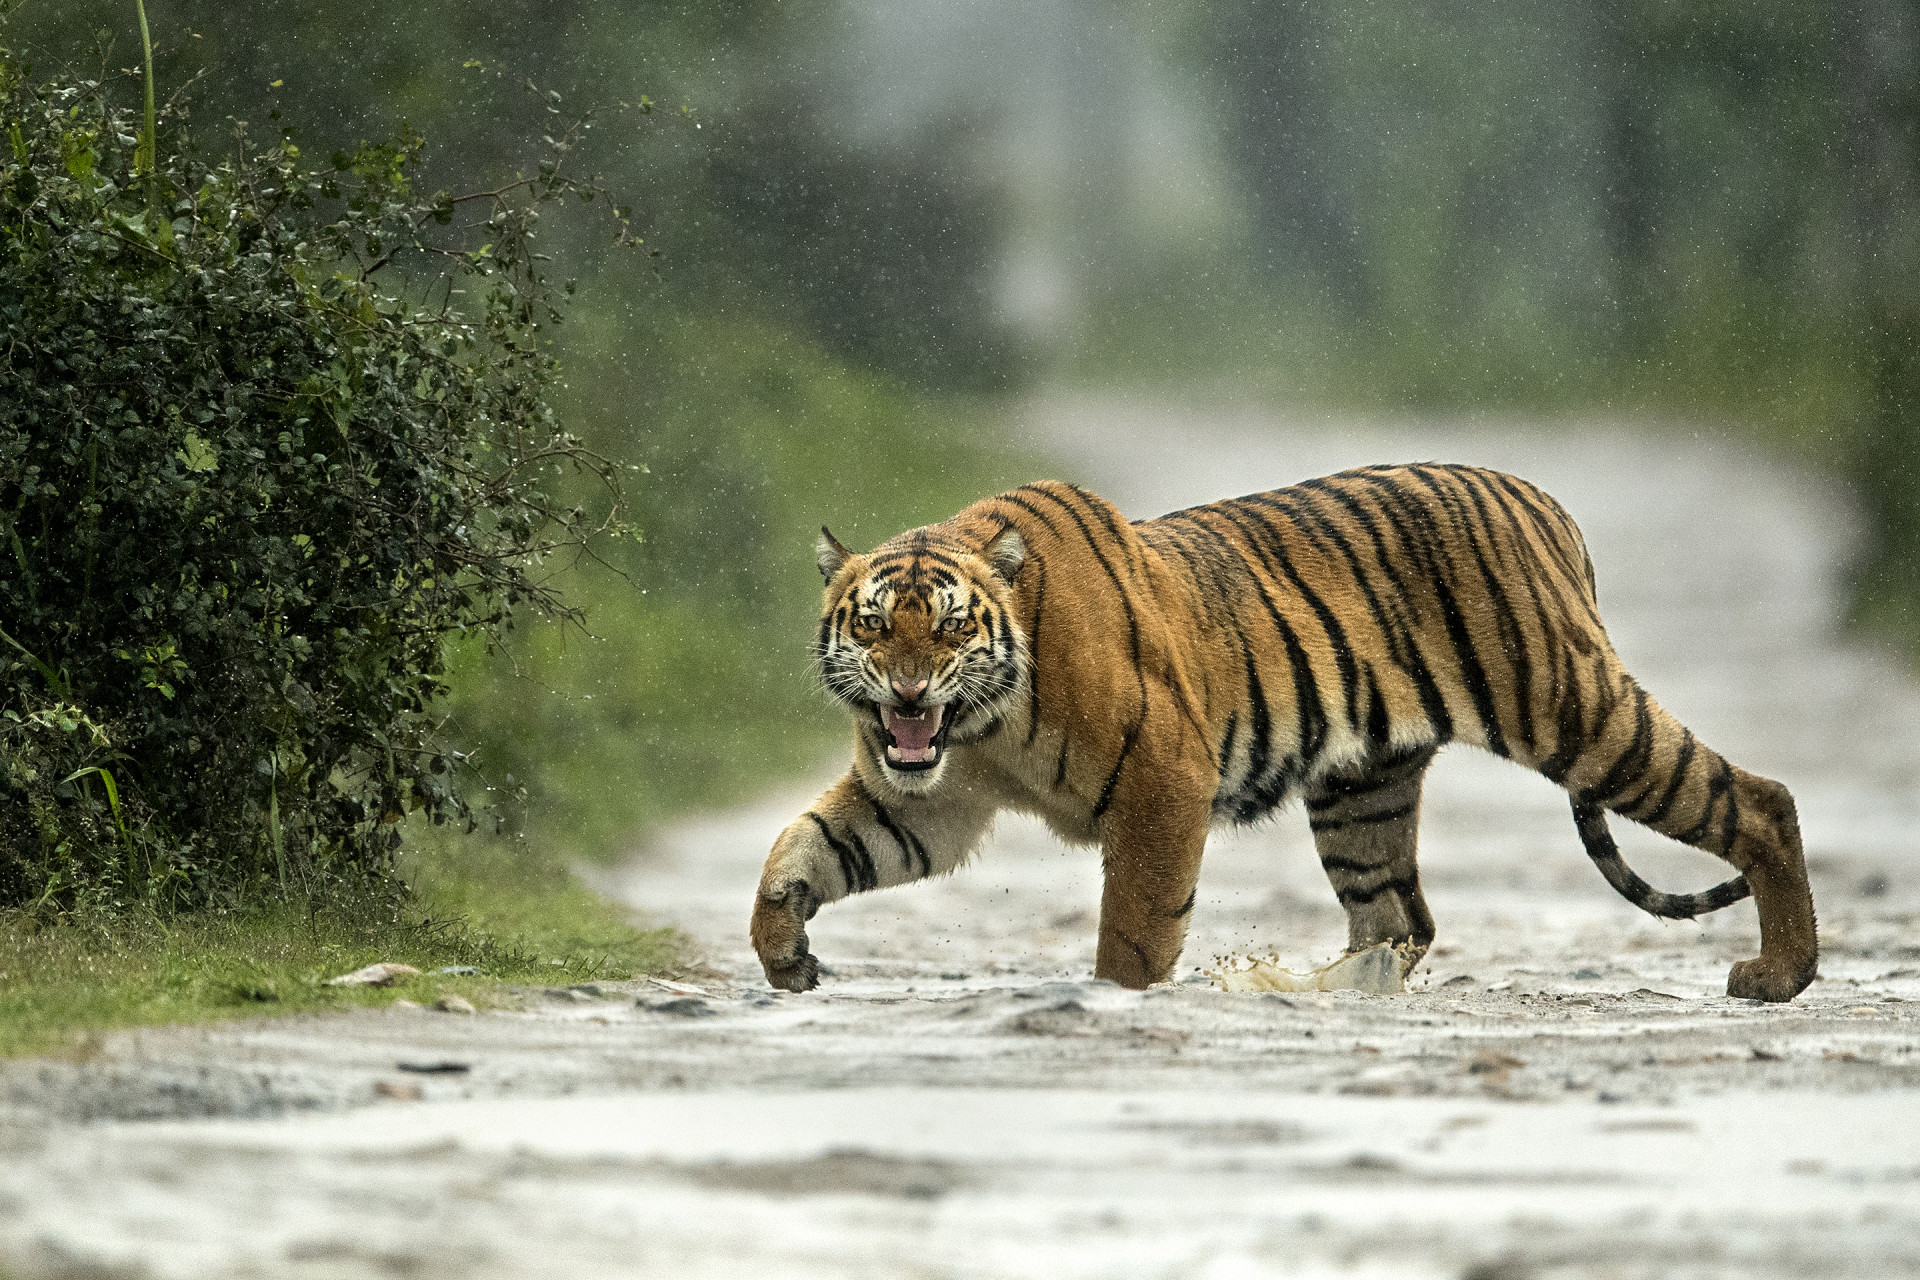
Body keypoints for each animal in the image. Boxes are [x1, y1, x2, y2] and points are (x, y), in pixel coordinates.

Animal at [744, 466, 1812, 1005]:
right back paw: (1325, 989)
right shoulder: (928, 801)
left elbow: (1135, 927)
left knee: (1758, 799)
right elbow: (800, 847)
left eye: (950, 627)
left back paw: (1779, 976)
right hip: (1363, 787)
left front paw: (1116, 1003)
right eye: (873, 625)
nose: (908, 688)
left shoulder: (1164, 779)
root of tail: (1545, 501)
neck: (981, 724)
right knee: (1398, 918)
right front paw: (785, 957)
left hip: (1573, 711)